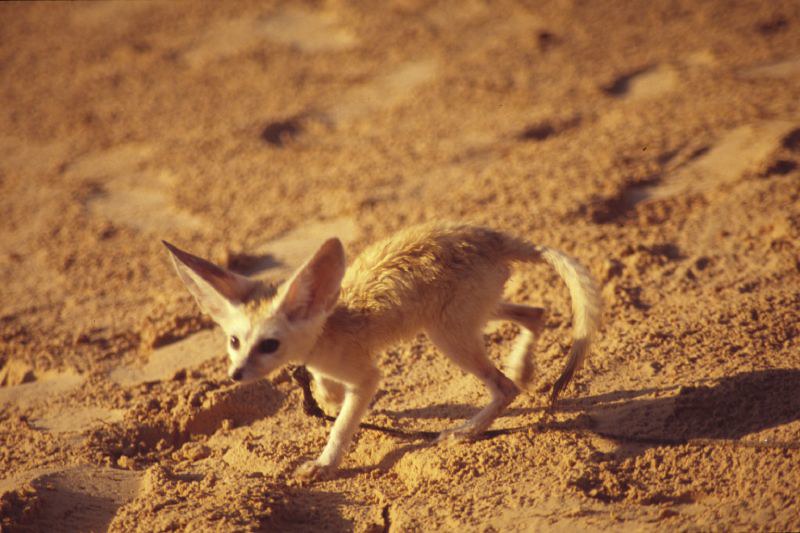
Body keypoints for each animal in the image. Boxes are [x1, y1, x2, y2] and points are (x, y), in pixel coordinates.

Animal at [163, 221, 601, 481]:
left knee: (505, 387)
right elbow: (329, 394)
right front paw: (326, 396)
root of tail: (492, 238)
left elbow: (342, 425)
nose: (235, 375)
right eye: (234, 342)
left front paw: (323, 464)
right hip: (469, 314)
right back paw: (522, 365)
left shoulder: (367, 377)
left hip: (448, 333)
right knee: (536, 313)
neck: (329, 326)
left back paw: (466, 430)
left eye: (269, 345)